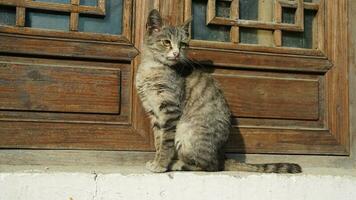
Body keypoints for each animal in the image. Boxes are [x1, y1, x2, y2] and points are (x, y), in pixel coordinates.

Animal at [135, 8, 302, 173]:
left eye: (182, 44)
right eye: (166, 42)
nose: (177, 53)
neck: (152, 69)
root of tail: (222, 156)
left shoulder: (170, 110)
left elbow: (166, 143)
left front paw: (161, 164)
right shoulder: (154, 113)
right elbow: (158, 141)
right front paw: (156, 160)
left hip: (186, 133)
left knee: (209, 166)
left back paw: (177, 164)